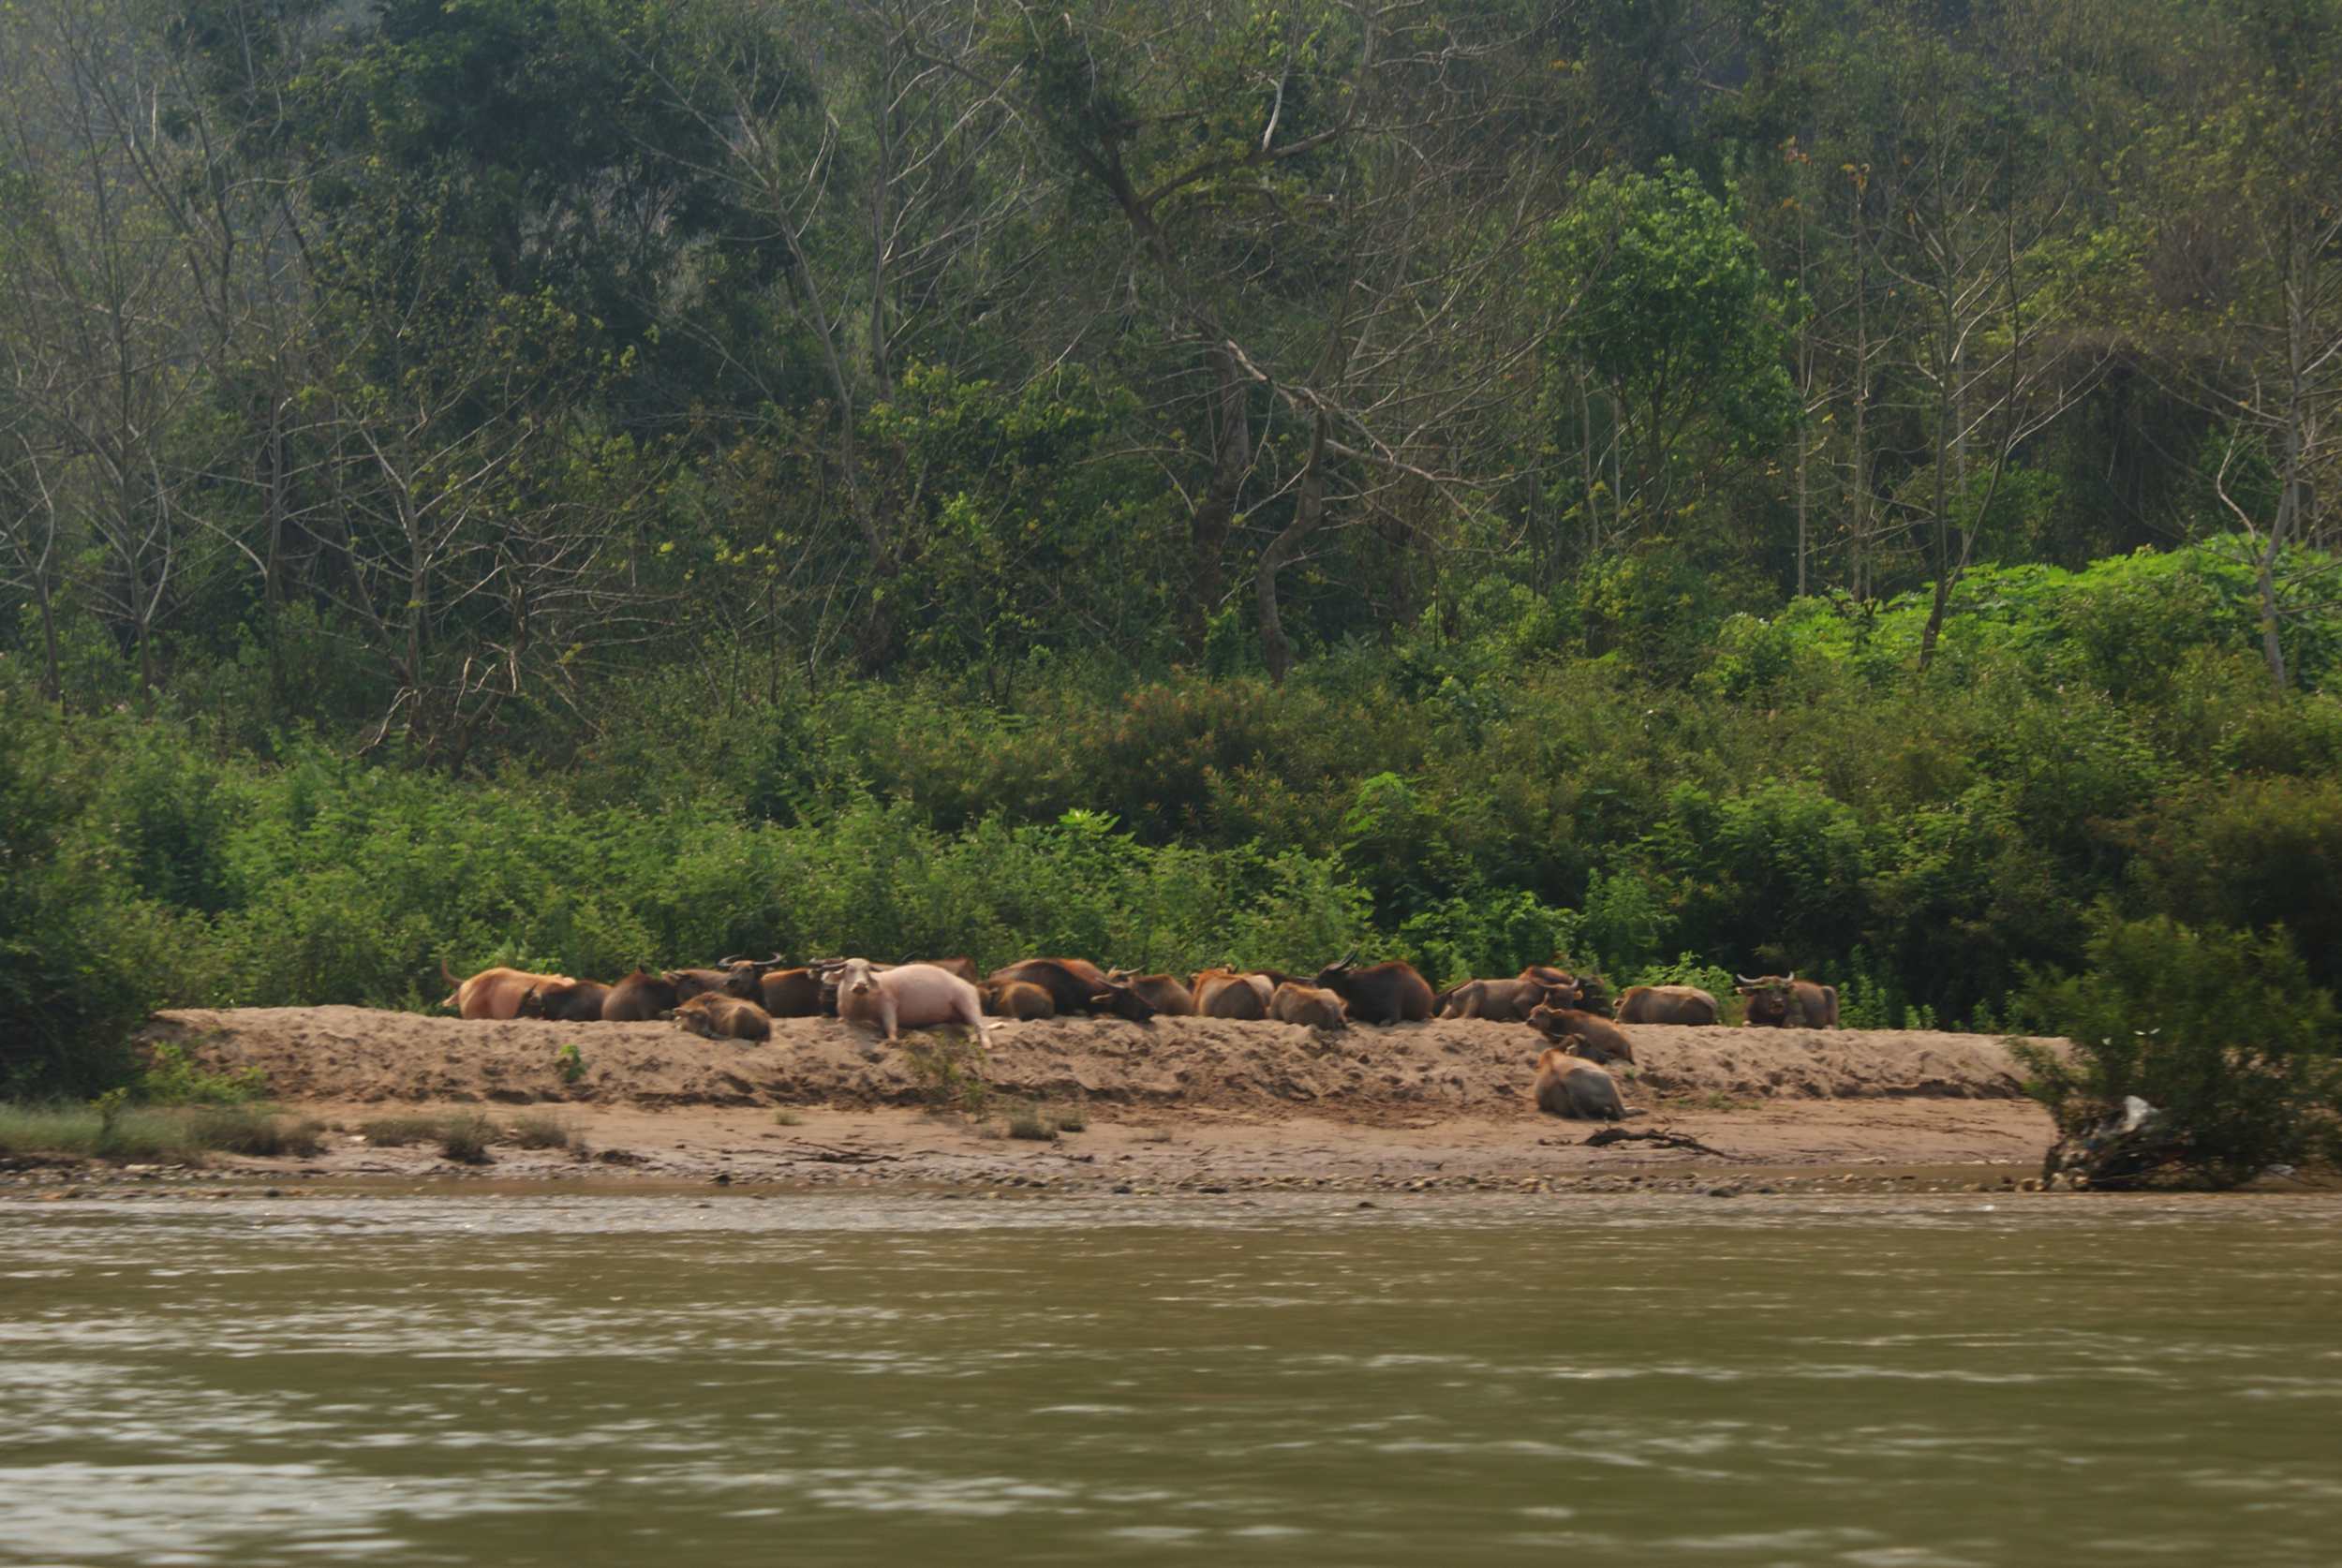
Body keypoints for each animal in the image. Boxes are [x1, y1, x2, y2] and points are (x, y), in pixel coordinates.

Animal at [834, 950, 988, 1048]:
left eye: (867, 971)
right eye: (849, 969)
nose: (861, 985)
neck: (861, 1007)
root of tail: (971, 986)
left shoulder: (889, 1004)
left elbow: (891, 1025)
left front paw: (892, 1040)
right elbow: (842, 1019)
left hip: (968, 1002)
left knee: (981, 1025)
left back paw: (986, 1045)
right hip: (957, 1016)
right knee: (969, 1028)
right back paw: (973, 1041)